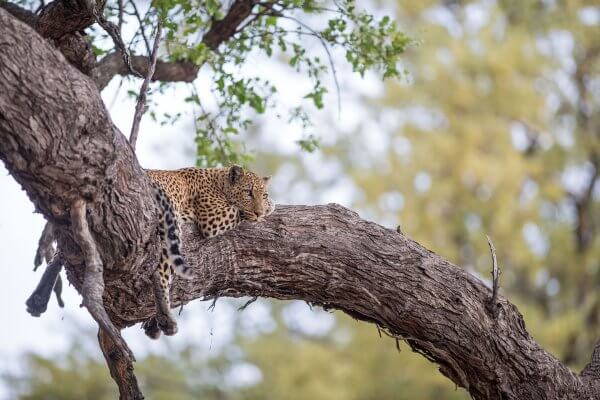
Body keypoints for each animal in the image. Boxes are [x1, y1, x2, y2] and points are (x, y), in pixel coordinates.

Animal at [141, 164, 274, 340]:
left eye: (263, 195)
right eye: (248, 192)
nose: (259, 213)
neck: (218, 181)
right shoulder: (212, 218)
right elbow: (238, 211)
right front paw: (270, 206)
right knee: (160, 272)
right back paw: (166, 319)